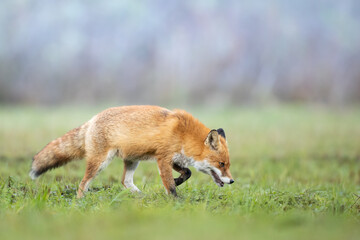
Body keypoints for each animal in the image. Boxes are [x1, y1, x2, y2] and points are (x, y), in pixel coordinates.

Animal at [30, 106, 233, 198]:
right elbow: (170, 185)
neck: (183, 134)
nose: (232, 181)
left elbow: (188, 172)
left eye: (228, 165)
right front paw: (176, 200)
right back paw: (81, 202)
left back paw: (141, 197)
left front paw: (177, 181)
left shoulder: (174, 158)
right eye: (221, 164)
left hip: (132, 160)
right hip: (100, 163)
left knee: (125, 182)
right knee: (82, 184)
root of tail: (92, 119)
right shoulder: (163, 158)